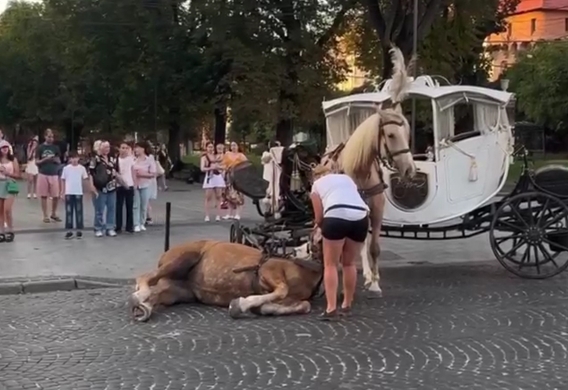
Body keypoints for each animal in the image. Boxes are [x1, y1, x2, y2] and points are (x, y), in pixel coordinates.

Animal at [130, 236, 322, 322]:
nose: (296, 249)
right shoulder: (268, 270)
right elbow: (282, 290)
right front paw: (241, 304)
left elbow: (305, 305)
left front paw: (262, 308)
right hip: (184, 258)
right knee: (145, 277)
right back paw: (139, 296)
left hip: (177, 291)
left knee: (158, 294)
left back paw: (145, 307)